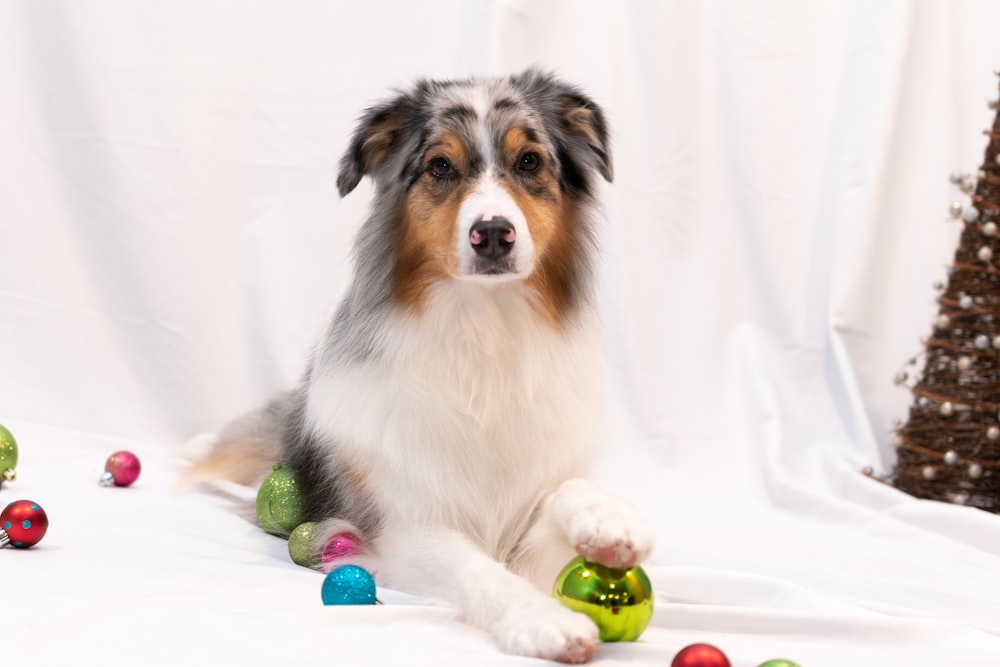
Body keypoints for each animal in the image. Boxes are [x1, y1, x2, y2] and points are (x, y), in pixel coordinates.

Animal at [186, 68, 656, 664]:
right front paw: (542, 620)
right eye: (440, 167)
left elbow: (568, 490)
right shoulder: (403, 528)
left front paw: (611, 521)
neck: (483, 330)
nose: (493, 233)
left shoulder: (531, 500)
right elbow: (477, 569)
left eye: (530, 161)